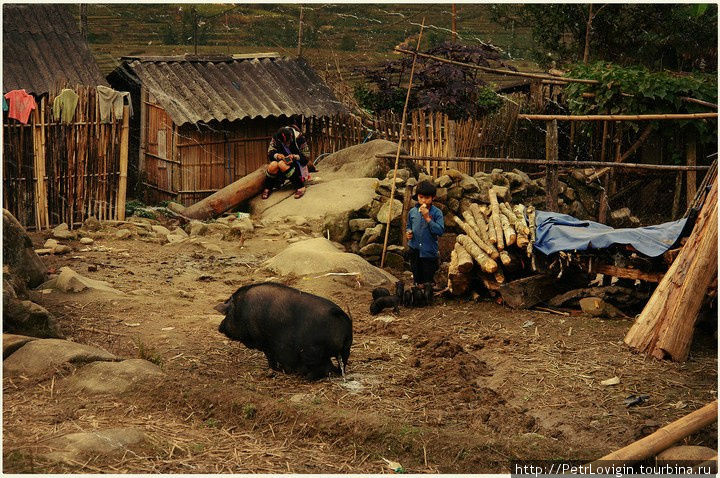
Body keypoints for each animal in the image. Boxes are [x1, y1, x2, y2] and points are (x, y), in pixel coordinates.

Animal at [215, 284, 352, 380]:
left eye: (228, 313)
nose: (220, 327)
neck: (241, 310)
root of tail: (338, 313)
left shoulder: (266, 342)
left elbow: (271, 358)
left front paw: (274, 369)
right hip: (346, 348)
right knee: (340, 365)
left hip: (313, 351)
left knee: (322, 368)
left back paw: (305, 377)